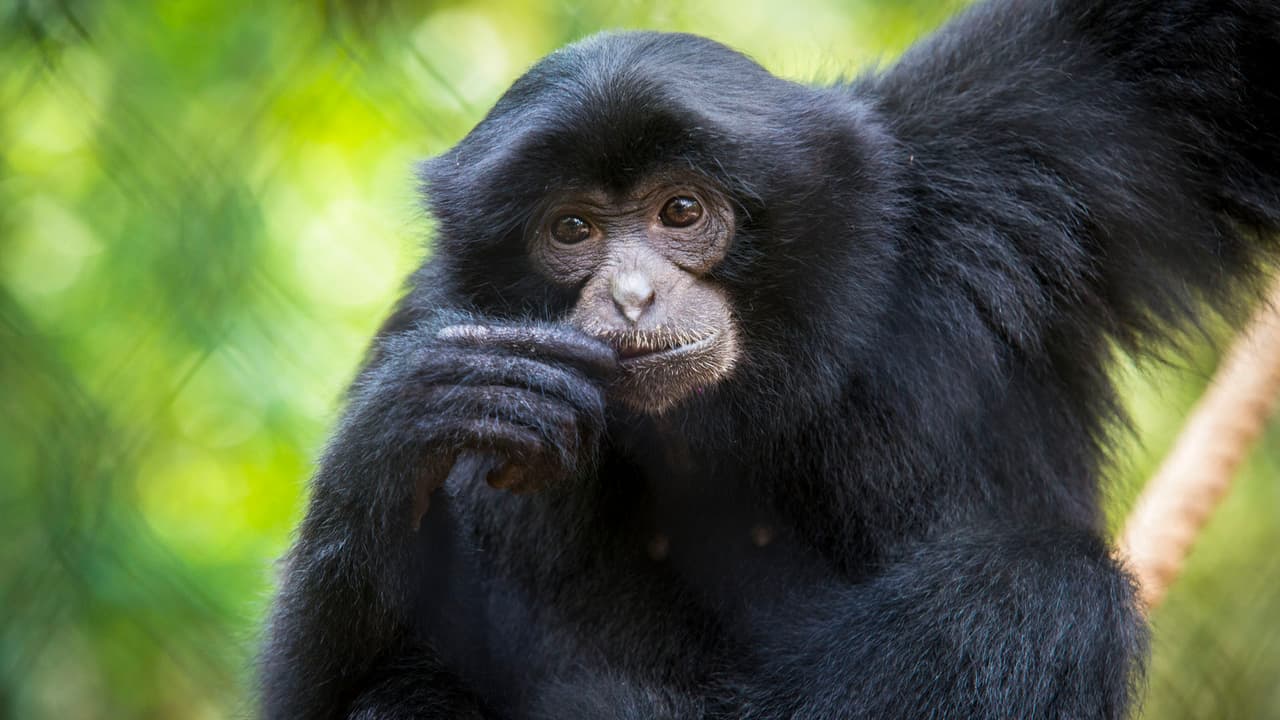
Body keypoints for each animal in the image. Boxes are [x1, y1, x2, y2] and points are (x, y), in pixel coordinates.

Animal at [260, 0, 1280, 717]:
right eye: (574, 229)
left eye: (680, 210)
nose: (633, 295)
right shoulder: (438, 316)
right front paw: (414, 429)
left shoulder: (1014, 137)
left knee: (1036, 586)